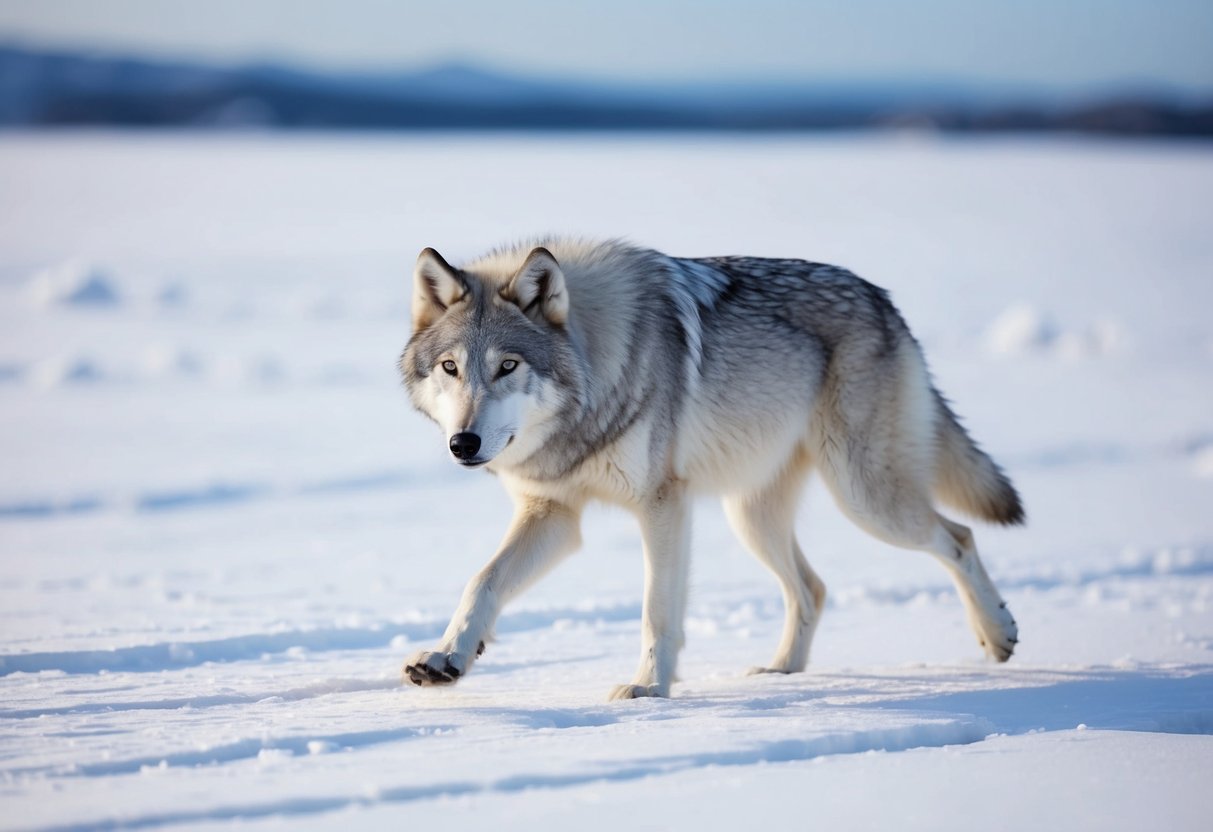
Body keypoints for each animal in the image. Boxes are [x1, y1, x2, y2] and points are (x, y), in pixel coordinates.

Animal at [399, 238, 1023, 699]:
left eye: (508, 366)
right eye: (451, 368)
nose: (463, 443)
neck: (598, 376)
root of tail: (883, 298)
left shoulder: (662, 506)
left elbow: (656, 610)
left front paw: (648, 689)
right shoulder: (554, 513)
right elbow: (482, 582)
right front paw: (447, 657)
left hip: (865, 499)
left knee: (959, 537)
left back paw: (998, 634)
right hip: (752, 517)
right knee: (813, 588)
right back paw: (781, 672)